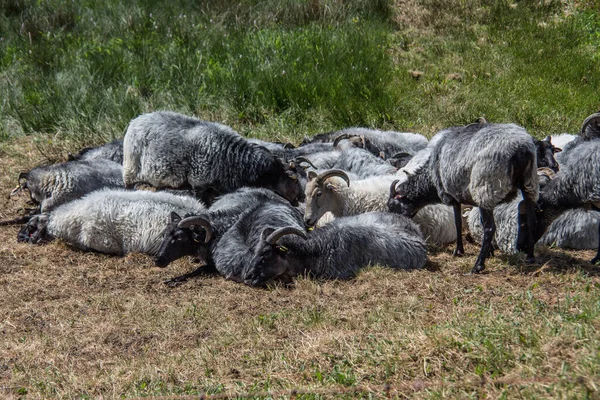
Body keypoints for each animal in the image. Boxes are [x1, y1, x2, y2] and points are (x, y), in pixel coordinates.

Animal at [390, 123, 540, 274]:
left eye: (391, 206)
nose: (396, 222)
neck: (430, 180)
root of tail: (520, 149)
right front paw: (490, 251)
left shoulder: (453, 195)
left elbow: (458, 222)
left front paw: (459, 251)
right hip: (529, 184)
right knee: (531, 220)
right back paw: (530, 257)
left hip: (485, 188)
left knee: (490, 228)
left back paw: (478, 266)